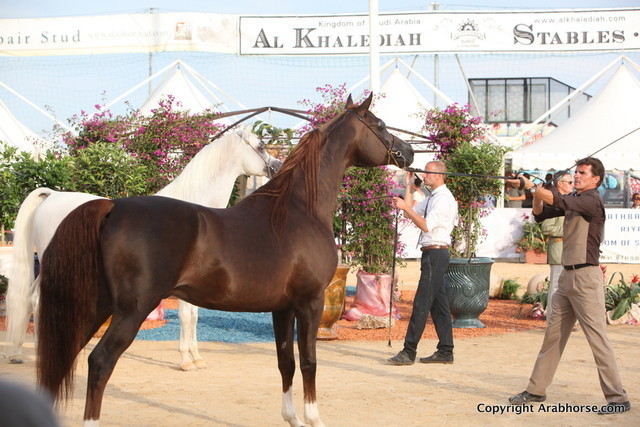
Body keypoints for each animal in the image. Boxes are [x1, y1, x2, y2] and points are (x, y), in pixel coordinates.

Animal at [4, 126, 282, 371]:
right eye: (260, 146)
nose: (277, 167)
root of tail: (51, 195)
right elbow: (186, 316)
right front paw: (186, 360)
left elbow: (193, 316)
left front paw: (196, 358)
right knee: (39, 299)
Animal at [36, 93, 413, 426]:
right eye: (380, 125)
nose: (408, 152)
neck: (298, 208)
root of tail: (112, 207)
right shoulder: (310, 302)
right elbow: (309, 362)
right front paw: (314, 419)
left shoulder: (282, 308)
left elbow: (285, 363)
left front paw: (292, 418)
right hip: (132, 309)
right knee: (100, 362)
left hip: (95, 306)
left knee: (66, 356)